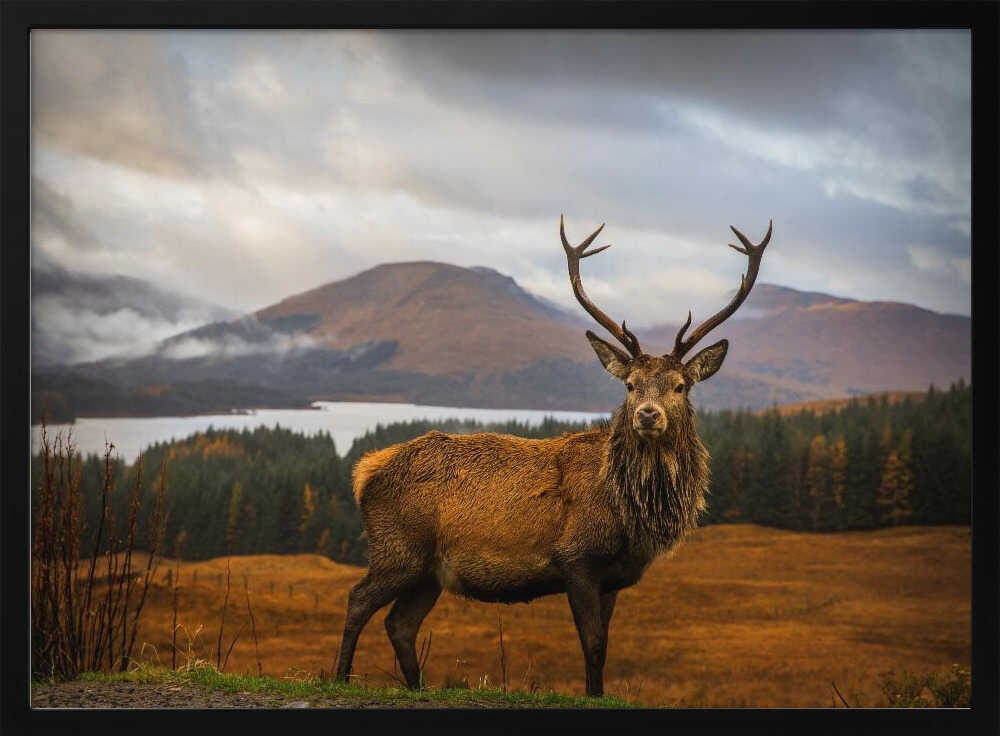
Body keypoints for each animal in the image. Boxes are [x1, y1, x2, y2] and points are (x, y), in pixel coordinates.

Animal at [334, 216, 772, 696]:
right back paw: (339, 677)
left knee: (400, 624)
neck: (630, 515)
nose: (647, 414)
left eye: (679, 386)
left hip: (429, 571)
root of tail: (364, 471)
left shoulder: (613, 577)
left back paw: (416, 687)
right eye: (630, 384)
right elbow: (593, 644)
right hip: (398, 548)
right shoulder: (575, 558)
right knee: (357, 601)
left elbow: (605, 646)